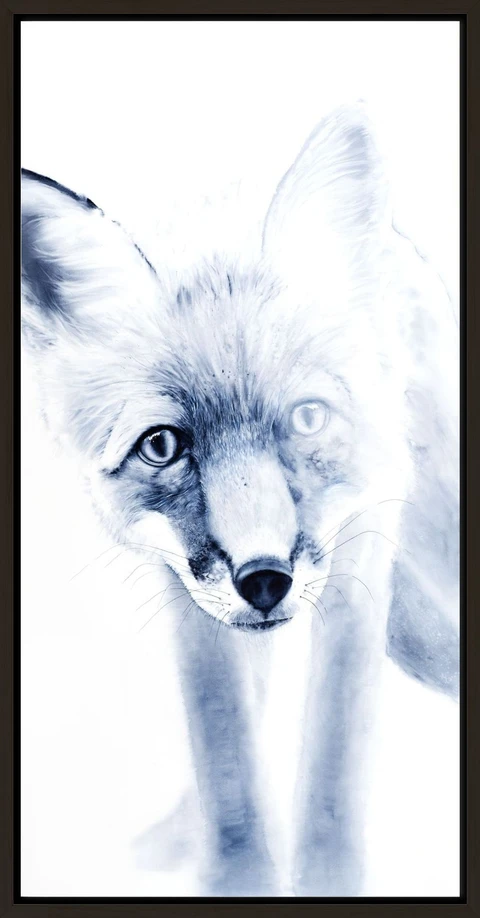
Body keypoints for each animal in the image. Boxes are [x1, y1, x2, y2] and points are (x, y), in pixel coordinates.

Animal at [21, 103, 459, 897]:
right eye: (163, 445)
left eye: (308, 418)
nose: (264, 580)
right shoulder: (184, 590)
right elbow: (226, 752)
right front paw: (238, 875)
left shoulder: (362, 551)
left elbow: (334, 753)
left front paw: (325, 879)